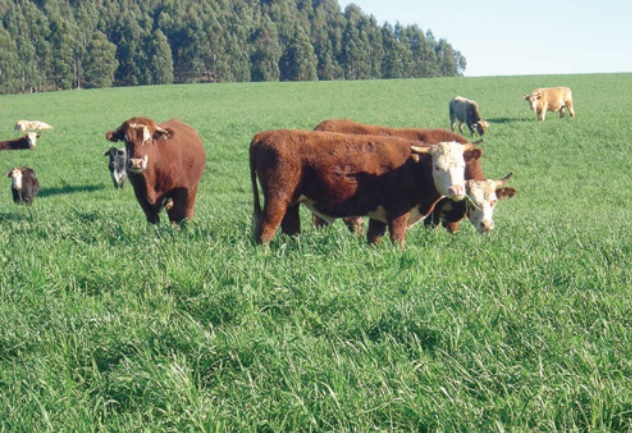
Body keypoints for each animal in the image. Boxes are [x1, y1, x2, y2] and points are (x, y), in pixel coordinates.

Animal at [249, 128, 476, 246]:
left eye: (462, 165)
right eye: (437, 166)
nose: (456, 190)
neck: (412, 166)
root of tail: (264, 135)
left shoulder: (378, 217)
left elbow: (373, 238)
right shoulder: (397, 214)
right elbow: (398, 241)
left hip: (292, 202)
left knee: (290, 228)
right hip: (278, 198)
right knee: (265, 230)